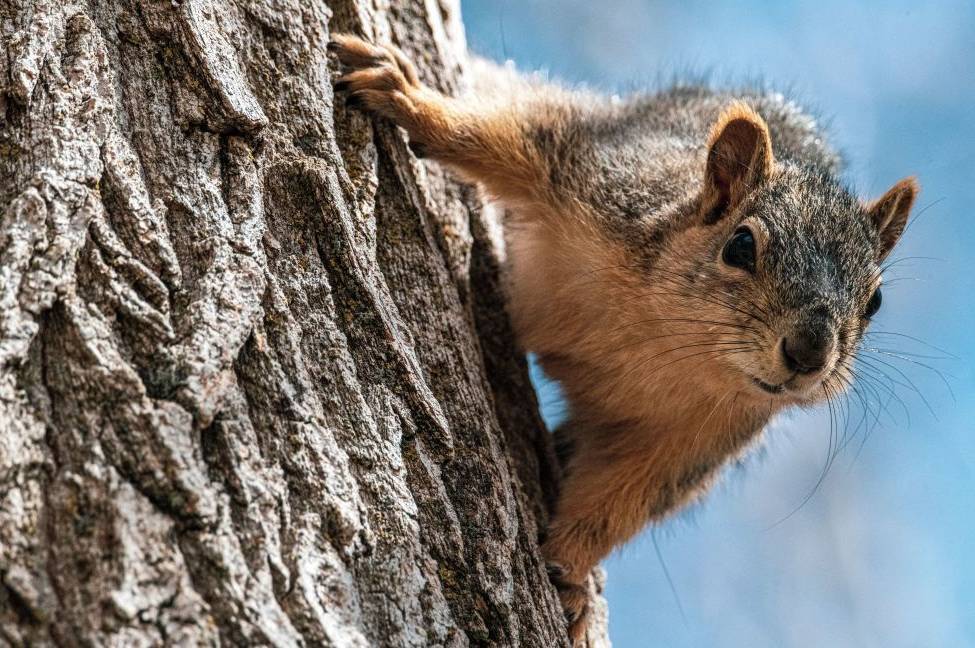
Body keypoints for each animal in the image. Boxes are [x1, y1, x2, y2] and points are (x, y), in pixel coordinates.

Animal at [332, 34, 920, 644]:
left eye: (875, 301)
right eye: (740, 246)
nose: (809, 354)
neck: (662, 339)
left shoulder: (695, 441)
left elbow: (618, 504)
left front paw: (568, 575)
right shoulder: (601, 172)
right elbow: (502, 136)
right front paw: (407, 97)